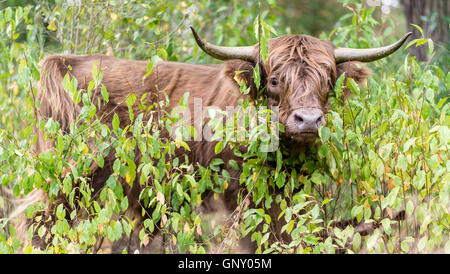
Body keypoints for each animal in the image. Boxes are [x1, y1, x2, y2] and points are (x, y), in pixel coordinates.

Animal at [11, 27, 412, 253]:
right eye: (274, 80)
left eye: (328, 81)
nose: (309, 120)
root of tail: (62, 62)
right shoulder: (238, 197)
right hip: (70, 176)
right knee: (37, 222)